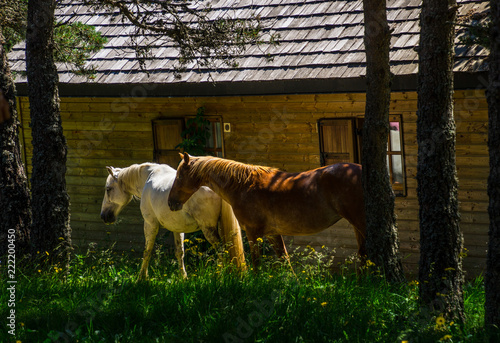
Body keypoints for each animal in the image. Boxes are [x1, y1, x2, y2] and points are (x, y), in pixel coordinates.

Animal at [99, 163, 244, 280]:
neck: (148, 176)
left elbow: (147, 251)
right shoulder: (177, 229)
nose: (103, 216)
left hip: (209, 229)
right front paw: (183, 278)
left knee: (221, 251)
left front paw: (141, 278)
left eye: (108, 189)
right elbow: (180, 253)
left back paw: (221, 276)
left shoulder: (150, 224)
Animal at [169, 154, 368, 268]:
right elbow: (285, 261)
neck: (243, 186)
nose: (171, 202)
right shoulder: (273, 234)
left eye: (179, 175)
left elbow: (257, 265)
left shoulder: (253, 233)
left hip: (361, 224)